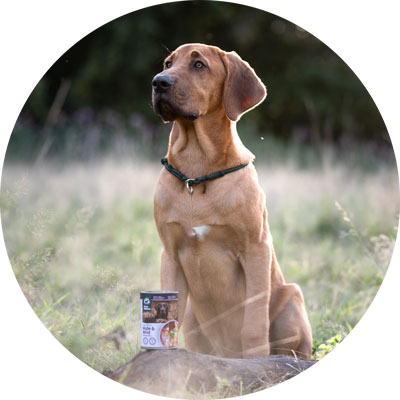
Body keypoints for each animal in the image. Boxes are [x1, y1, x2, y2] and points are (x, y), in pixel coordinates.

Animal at [152, 43, 310, 360]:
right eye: (168, 63)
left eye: (199, 65)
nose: (159, 82)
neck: (197, 172)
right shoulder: (170, 255)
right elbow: (172, 315)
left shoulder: (255, 249)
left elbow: (254, 322)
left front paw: (256, 361)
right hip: (195, 317)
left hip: (292, 296)